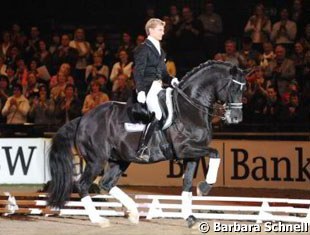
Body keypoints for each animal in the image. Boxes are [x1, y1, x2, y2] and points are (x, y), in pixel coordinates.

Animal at [47, 61, 246, 228]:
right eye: (233, 86)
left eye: (244, 89)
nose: (236, 119)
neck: (189, 107)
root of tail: (83, 118)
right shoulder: (185, 149)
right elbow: (215, 153)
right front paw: (204, 188)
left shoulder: (191, 155)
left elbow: (187, 184)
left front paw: (190, 217)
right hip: (96, 160)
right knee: (83, 185)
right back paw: (99, 220)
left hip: (120, 160)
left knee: (106, 184)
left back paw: (133, 213)